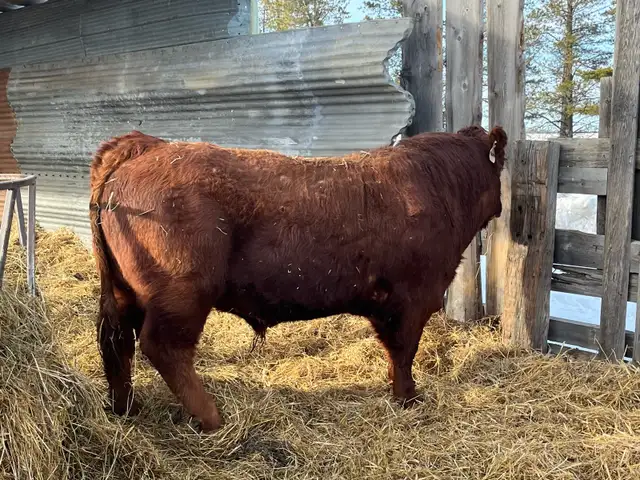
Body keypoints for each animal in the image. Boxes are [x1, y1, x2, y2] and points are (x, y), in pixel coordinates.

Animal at [89, 124, 507, 432]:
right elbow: (404, 352)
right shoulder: (412, 300)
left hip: (124, 293)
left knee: (117, 341)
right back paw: (213, 419)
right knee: (164, 348)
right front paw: (409, 398)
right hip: (183, 294)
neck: (435, 186)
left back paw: (126, 407)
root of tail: (148, 147)